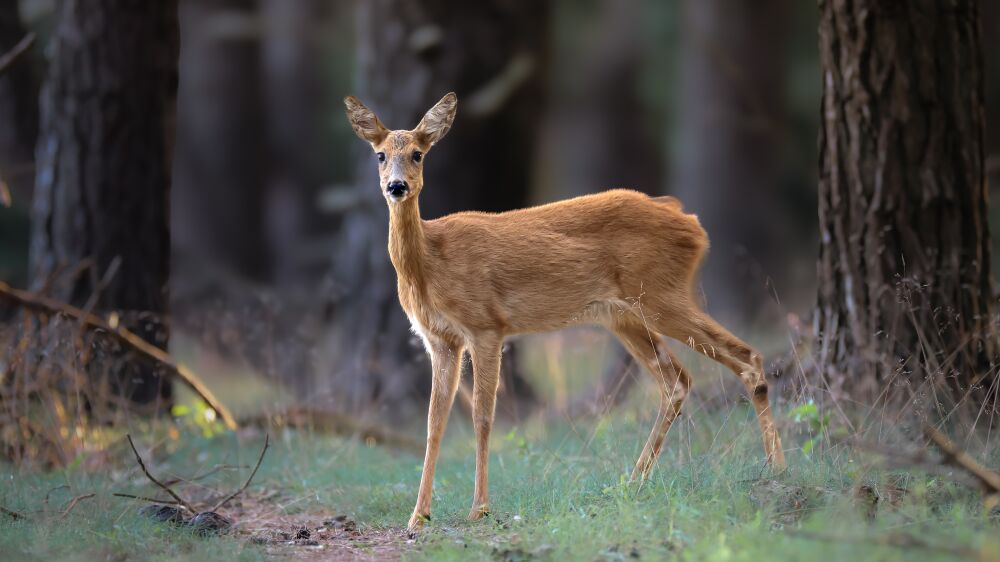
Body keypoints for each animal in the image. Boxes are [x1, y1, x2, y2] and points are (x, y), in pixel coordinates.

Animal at [346, 92, 788, 528]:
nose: (397, 186)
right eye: (380, 155)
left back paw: (777, 468)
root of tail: (692, 223)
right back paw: (635, 480)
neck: (430, 263)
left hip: (662, 294)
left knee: (747, 357)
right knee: (677, 380)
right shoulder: (439, 339)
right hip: (624, 315)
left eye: (418, 154)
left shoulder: (486, 325)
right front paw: (418, 515)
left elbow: (483, 418)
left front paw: (480, 508)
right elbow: (433, 423)